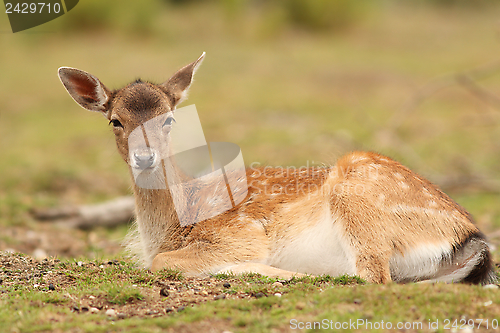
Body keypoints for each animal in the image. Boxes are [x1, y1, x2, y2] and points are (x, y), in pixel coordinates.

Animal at [58, 53, 496, 284]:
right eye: (115, 120)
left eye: (169, 119)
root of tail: (471, 238)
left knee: (367, 276)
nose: (145, 157)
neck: (172, 227)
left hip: (357, 198)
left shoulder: (240, 233)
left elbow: (162, 263)